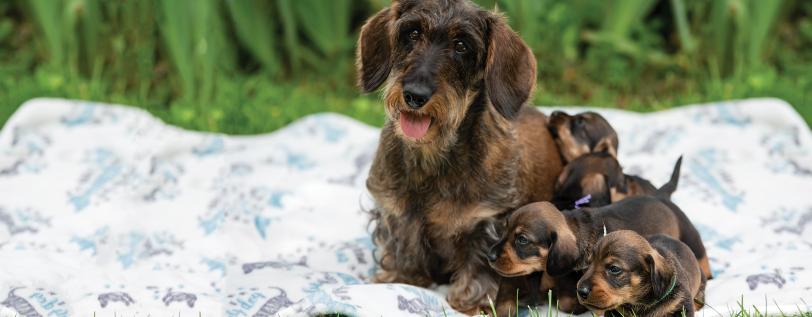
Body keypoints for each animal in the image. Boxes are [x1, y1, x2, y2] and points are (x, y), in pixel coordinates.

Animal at [358, 0, 560, 312]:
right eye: (412, 33)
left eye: (462, 46)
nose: (415, 95)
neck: (432, 159)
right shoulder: (398, 214)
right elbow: (404, 249)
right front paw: (399, 279)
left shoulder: (485, 223)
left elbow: (479, 267)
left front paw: (472, 302)